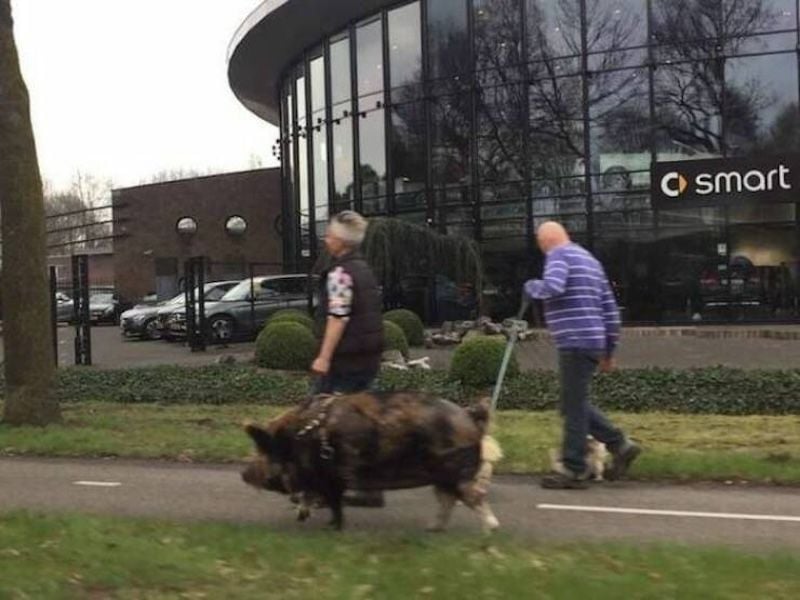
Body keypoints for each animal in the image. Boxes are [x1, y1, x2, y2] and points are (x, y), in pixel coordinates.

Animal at [241, 392, 500, 532]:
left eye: (262, 451)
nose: (244, 473)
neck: (299, 438)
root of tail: (469, 417)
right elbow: (314, 496)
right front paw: (303, 516)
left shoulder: (333, 477)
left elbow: (334, 502)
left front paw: (331, 528)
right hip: (442, 477)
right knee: (447, 500)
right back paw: (432, 529)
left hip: (457, 471)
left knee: (474, 497)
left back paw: (490, 530)